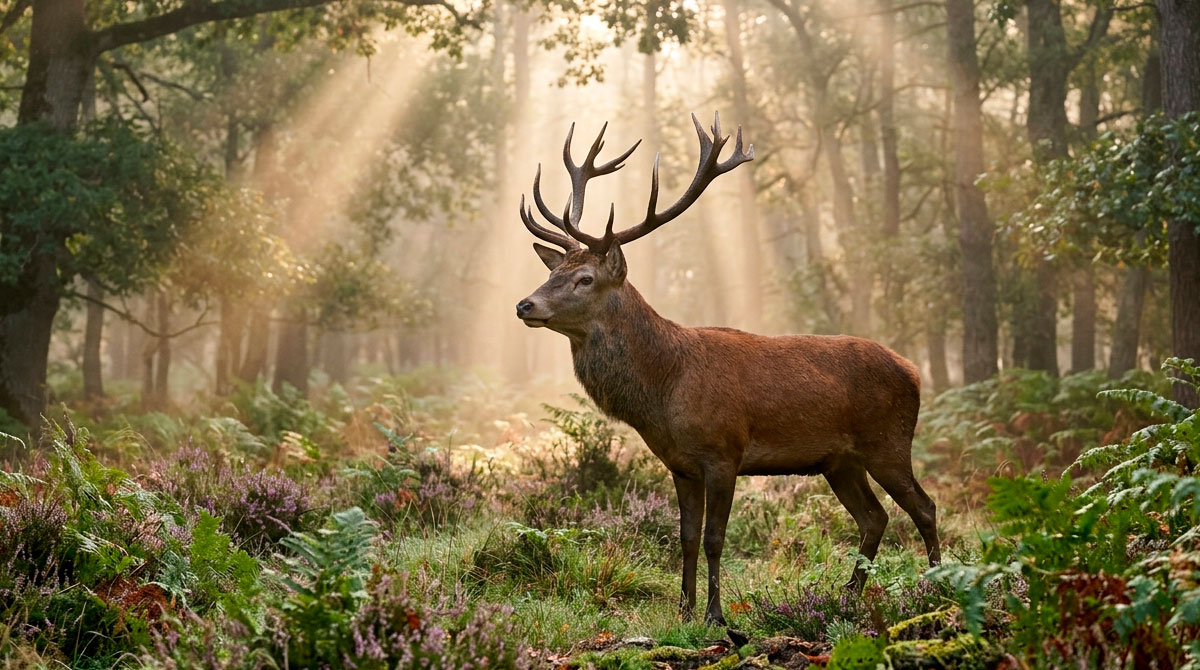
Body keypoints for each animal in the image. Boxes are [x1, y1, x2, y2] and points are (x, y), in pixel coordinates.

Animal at [514, 112, 940, 626]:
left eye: (584, 279)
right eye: (552, 273)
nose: (524, 304)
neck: (664, 391)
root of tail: (914, 371)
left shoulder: (724, 452)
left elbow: (716, 539)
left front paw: (716, 615)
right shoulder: (680, 465)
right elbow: (686, 538)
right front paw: (683, 610)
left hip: (888, 442)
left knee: (924, 507)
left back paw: (937, 587)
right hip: (841, 461)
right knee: (874, 517)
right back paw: (847, 596)